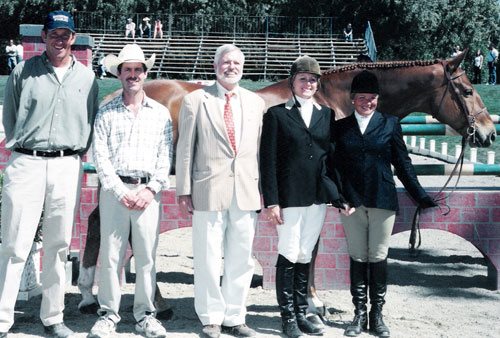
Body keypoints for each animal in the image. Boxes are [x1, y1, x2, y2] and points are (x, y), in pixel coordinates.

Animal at [78, 49, 496, 314]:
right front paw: (313, 303)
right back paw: (98, 296)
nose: (488, 133)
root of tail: (122, 94)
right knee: (106, 223)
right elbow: (311, 248)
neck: (332, 99)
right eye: (466, 90)